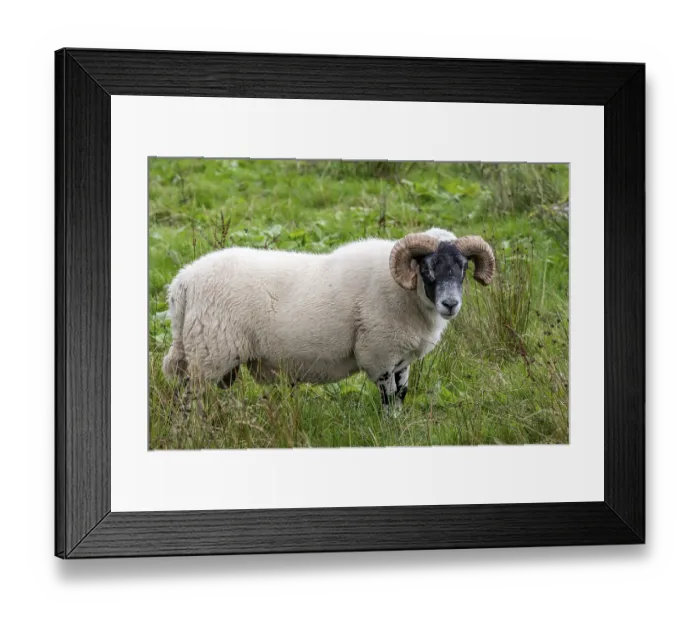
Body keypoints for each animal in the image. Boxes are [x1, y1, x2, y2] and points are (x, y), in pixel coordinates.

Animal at [162, 227, 496, 415]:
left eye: (463, 268)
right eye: (427, 268)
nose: (450, 304)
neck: (408, 295)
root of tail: (182, 283)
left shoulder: (401, 359)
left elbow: (400, 395)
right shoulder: (379, 353)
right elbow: (388, 398)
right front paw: (389, 429)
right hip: (210, 354)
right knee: (189, 400)